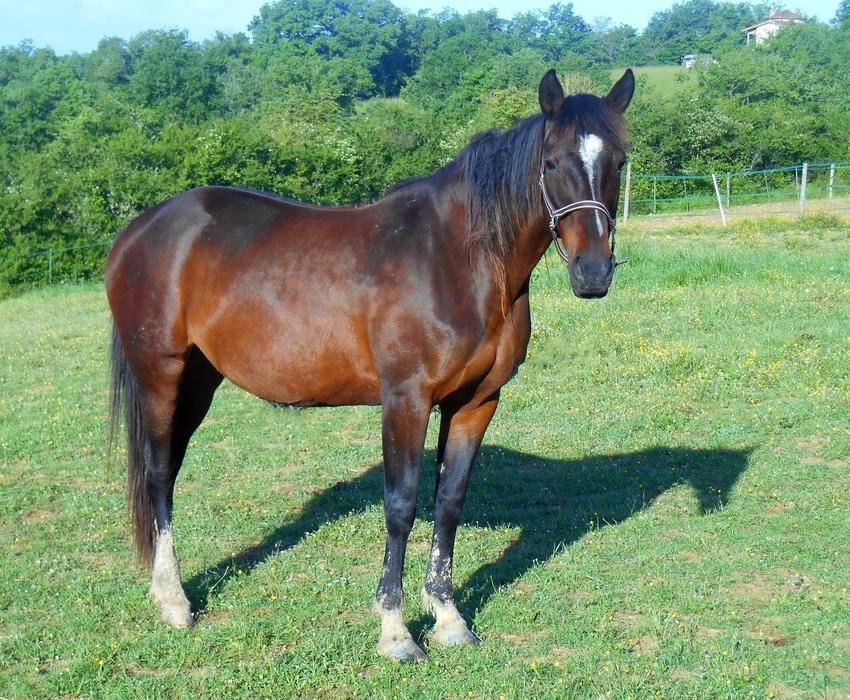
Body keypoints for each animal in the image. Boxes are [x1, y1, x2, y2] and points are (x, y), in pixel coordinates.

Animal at [106, 68, 635, 662]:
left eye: (619, 162)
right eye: (551, 163)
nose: (594, 273)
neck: (458, 260)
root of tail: (140, 231)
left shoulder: (476, 402)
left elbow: (448, 502)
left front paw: (448, 618)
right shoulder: (405, 399)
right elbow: (401, 505)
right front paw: (396, 631)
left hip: (199, 380)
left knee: (170, 470)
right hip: (160, 374)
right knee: (157, 473)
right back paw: (175, 601)